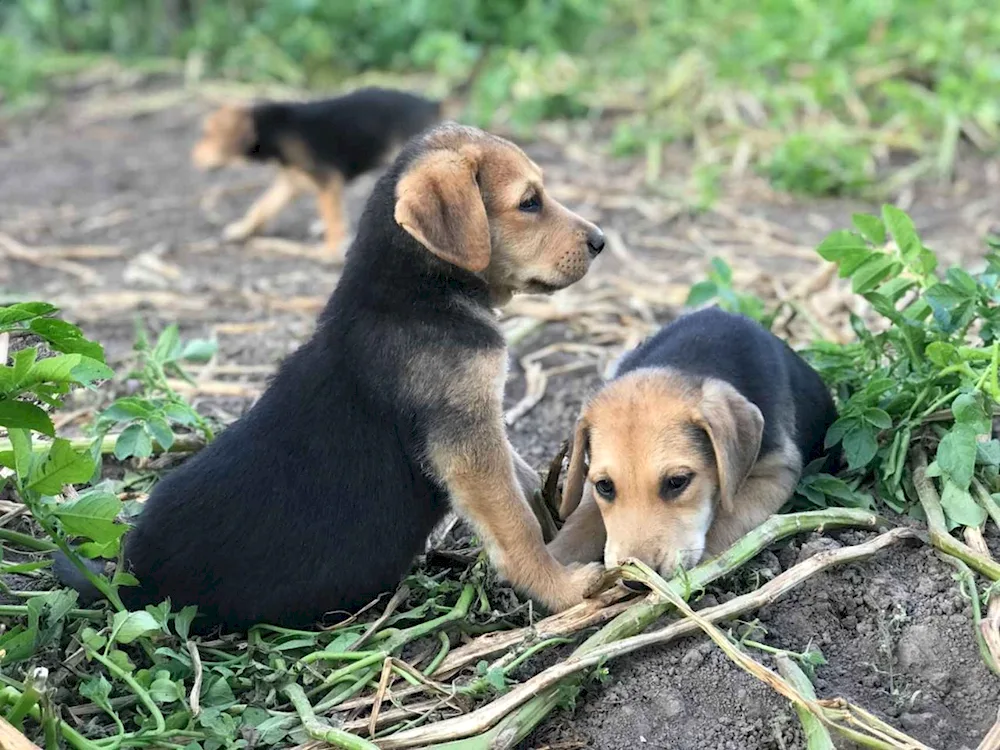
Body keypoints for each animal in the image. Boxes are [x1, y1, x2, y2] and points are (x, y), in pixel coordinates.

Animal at [58, 125, 604, 636]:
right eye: (529, 202)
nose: (600, 241)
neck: (414, 291)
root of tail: (126, 575)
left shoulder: (481, 423)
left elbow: (523, 478)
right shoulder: (467, 442)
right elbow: (515, 525)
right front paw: (562, 588)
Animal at [552, 308, 840, 580]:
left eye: (677, 482)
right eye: (605, 486)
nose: (636, 582)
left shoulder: (776, 471)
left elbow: (728, 518)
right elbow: (581, 520)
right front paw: (555, 567)